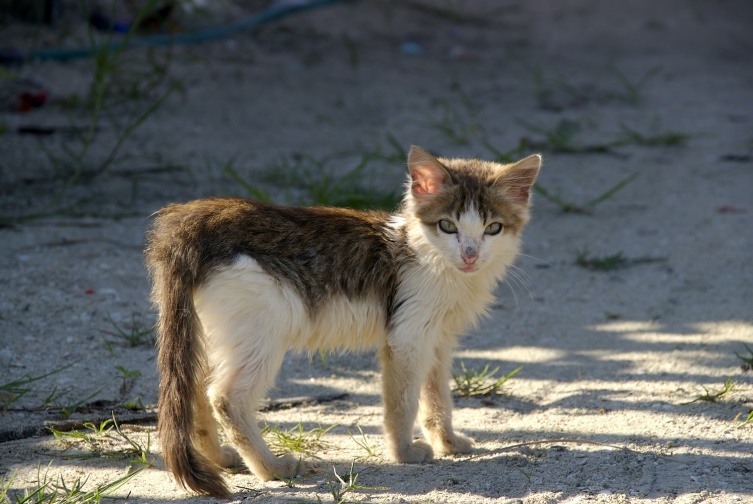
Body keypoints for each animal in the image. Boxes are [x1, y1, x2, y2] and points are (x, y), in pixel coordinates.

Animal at [144, 145, 540, 496]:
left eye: (493, 228)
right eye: (447, 226)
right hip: (263, 328)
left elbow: (437, 398)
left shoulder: (437, 340)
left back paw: (220, 458)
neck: (425, 253)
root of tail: (196, 217)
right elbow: (403, 402)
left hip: (217, 331)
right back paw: (274, 469)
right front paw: (404, 453)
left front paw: (448, 442)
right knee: (226, 398)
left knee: (194, 387)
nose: (470, 255)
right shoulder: (407, 337)